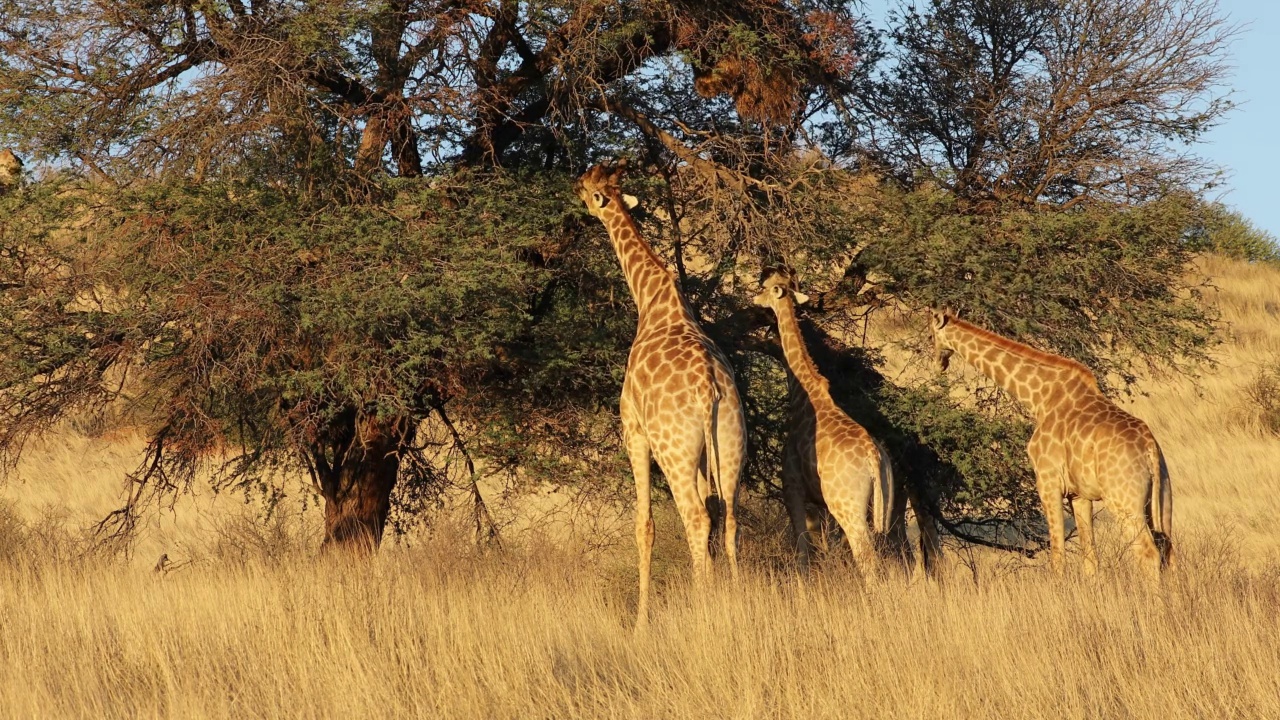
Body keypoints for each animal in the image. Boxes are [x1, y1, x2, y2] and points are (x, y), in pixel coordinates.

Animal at [573, 159, 747, 625]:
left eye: (587, 189)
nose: (574, 192)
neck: (651, 300)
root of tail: (708, 390)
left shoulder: (633, 430)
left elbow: (644, 525)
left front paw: (639, 625)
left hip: (674, 449)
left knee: (697, 517)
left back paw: (703, 611)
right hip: (729, 442)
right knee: (728, 515)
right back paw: (733, 600)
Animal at [747, 269, 901, 576]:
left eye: (767, 287)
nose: (754, 300)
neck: (803, 391)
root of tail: (874, 459)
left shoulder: (792, 486)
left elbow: (802, 548)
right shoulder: (819, 502)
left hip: (847, 506)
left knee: (866, 556)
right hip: (883, 507)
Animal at [926, 311, 1172, 573]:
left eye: (931, 336)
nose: (937, 364)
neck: (1040, 397)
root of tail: (1150, 449)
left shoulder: (1047, 482)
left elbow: (1057, 556)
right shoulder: (1079, 494)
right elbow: (1090, 558)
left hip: (1124, 502)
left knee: (1149, 554)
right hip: (1163, 500)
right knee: (1169, 552)